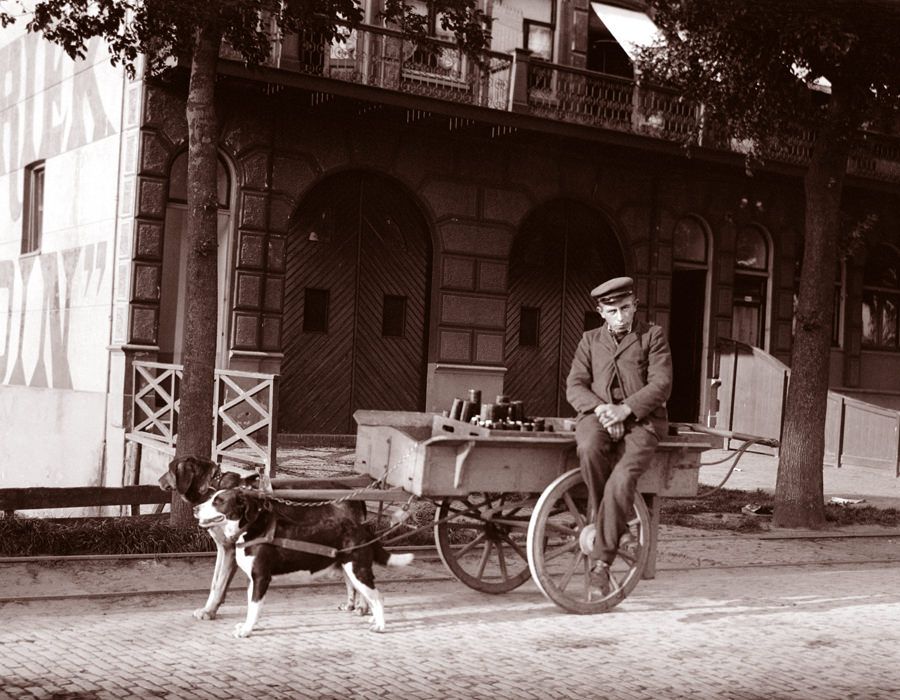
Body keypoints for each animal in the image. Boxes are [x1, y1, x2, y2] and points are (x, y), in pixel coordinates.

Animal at [195, 486, 414, 636]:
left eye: (218, 501)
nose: (196, 508)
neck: (252, 530)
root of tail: (362, 529)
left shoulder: (261, 577)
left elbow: (255, 607)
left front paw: (247, 630)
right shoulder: (252, 579)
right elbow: (251, 606)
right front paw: (247, 626)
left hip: (357, 570)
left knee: (377, 597)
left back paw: (380, 626)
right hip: (350, 570)